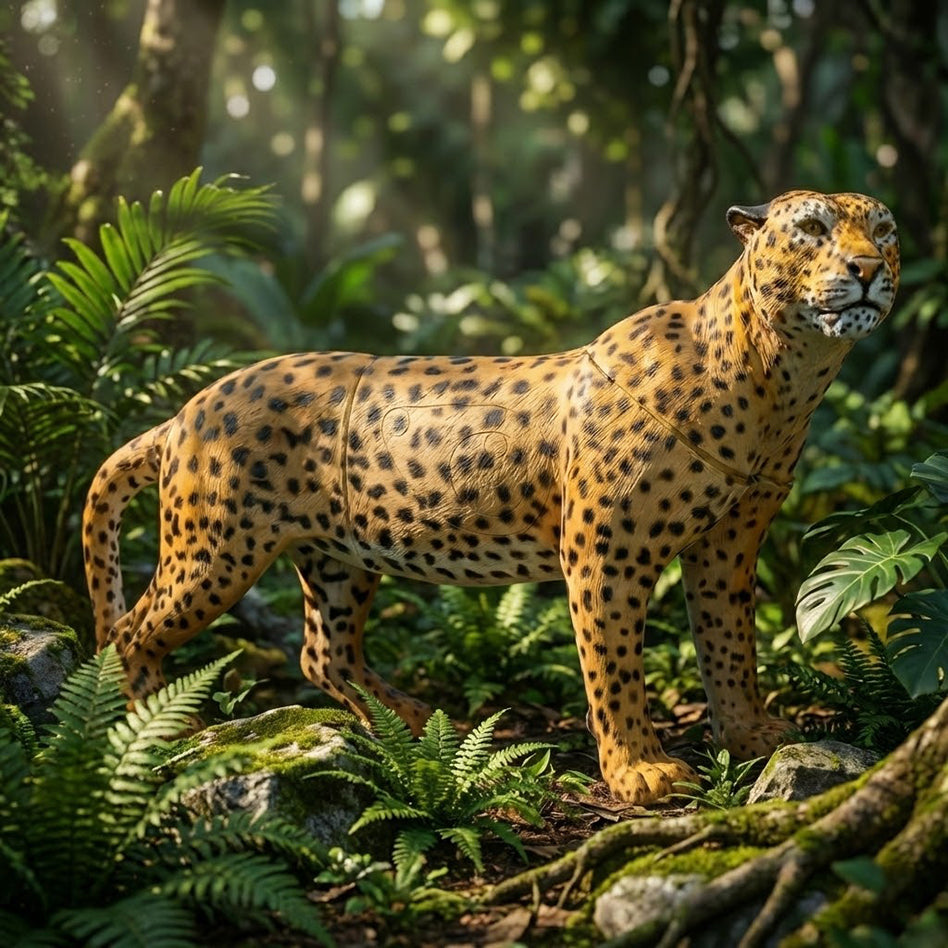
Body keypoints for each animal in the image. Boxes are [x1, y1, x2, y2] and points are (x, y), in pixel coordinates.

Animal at [83, 189, 899, 805]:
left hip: (339, 558)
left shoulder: (726, 548)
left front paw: (749, 734)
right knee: (131, 632)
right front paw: (640, 769)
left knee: (322, 653)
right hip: (214, 551)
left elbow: (730, 645)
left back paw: (409, 718)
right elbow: (615, 667)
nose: (867, 267)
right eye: (812, 229)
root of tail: (184, 411)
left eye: (884, 230)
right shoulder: (607, 559)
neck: (781, 381)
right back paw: (157, 733)